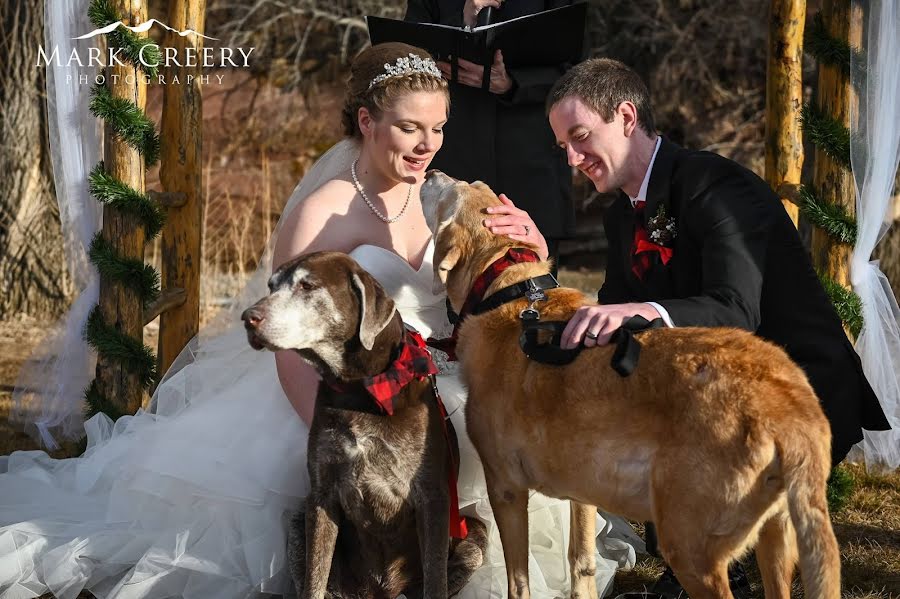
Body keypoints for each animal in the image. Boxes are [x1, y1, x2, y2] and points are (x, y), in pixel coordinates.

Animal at [418, 170, 840, 599]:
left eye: (449, 192)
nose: (431, 172)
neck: (507, 287)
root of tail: (788, 408)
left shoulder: (505, 488)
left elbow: (518, 582)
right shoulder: (581, 489)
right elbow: (581, 562)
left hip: (691, 549)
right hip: (776, 537)